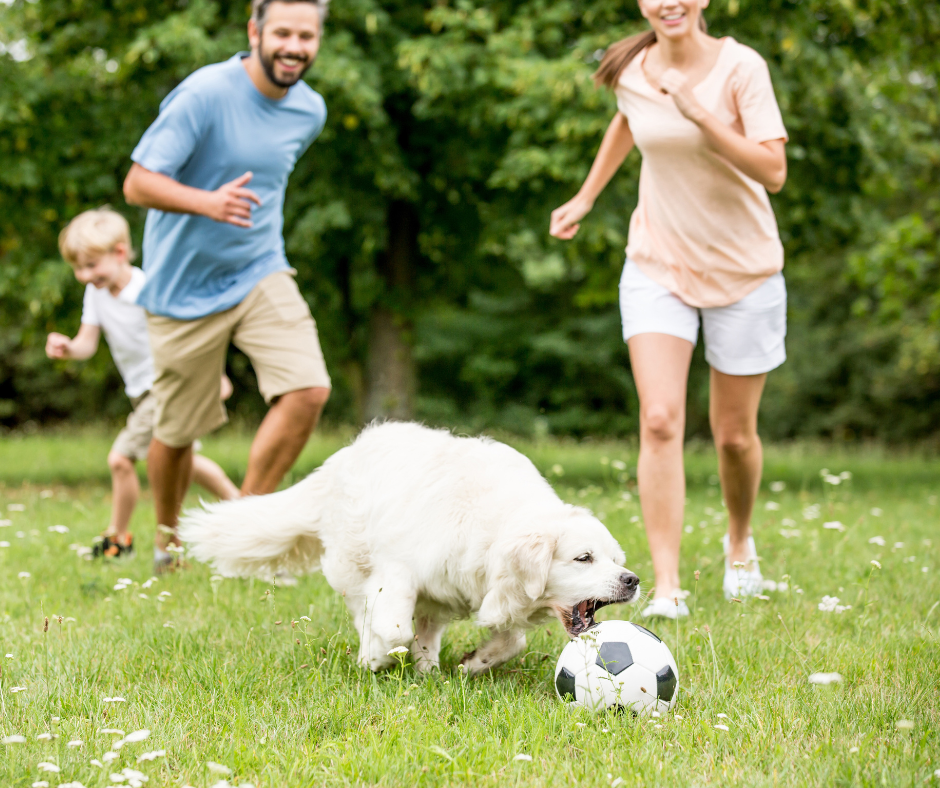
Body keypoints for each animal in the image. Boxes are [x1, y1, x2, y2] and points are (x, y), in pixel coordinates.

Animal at [178, 422, 640, 676]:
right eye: (584, 558)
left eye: (617, 560)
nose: (632, 580)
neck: (490, 526)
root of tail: (341, 458)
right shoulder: (398, 570)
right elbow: (394, 627)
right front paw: (378, 656)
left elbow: (513, 641)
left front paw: (475, 662)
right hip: (357, 565)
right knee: (368, 611)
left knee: (426, 631)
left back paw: (428, 668)